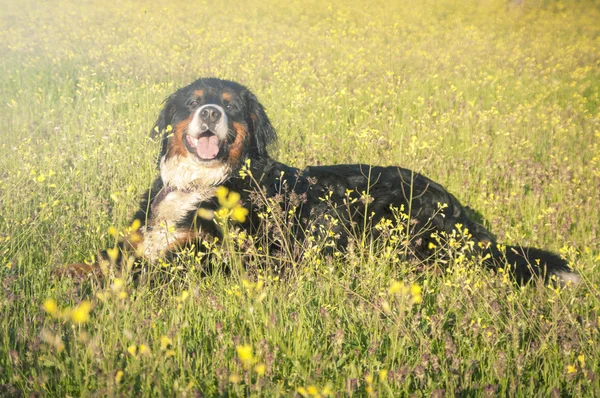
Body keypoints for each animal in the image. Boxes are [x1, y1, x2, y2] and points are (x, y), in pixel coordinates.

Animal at [69, 77, 576, 286]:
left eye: (231, 106)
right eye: (193, 102)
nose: (210, 113)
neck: (202, 185)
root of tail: (458, 208)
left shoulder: (211, 257)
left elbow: (141, 272)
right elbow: (99, 261)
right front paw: (67, 275)